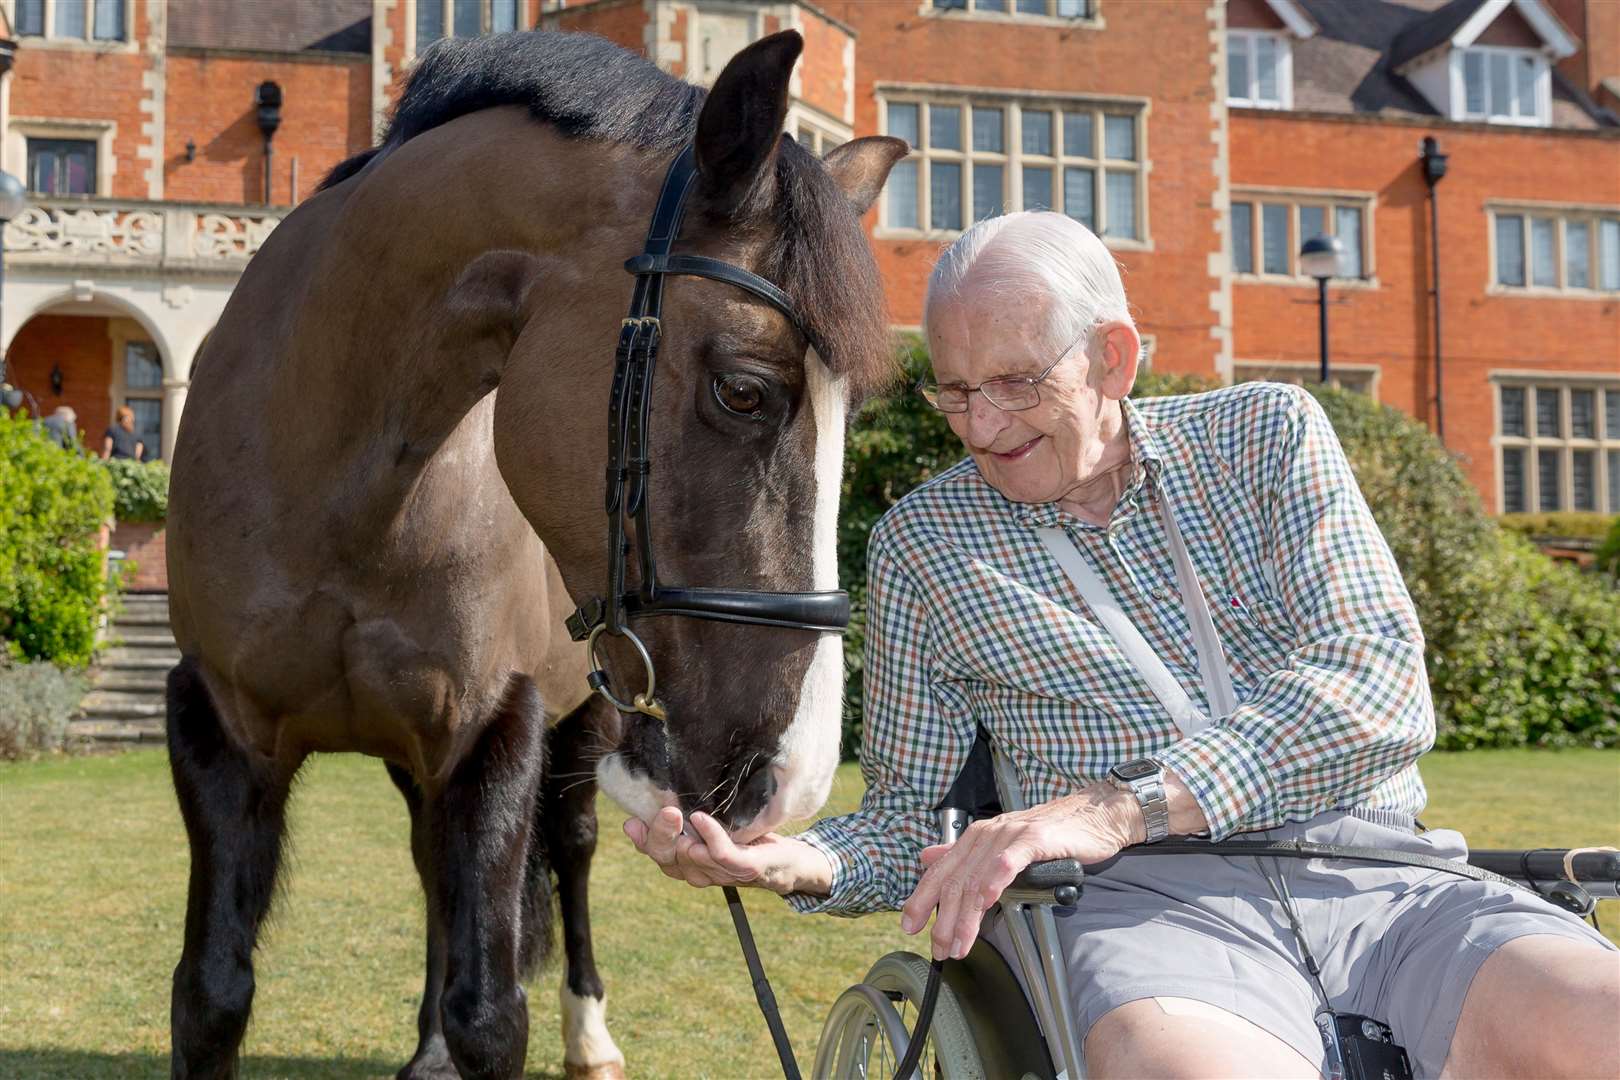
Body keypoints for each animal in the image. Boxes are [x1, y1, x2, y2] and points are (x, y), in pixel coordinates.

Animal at [169, 25, 907, 1080]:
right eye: (744, 390)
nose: (794, 775)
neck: (336, 488)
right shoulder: (219, 728)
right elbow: (213, 996)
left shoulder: (495, 730)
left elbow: (492, 1010)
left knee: (570, 849)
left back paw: (584, 1032)